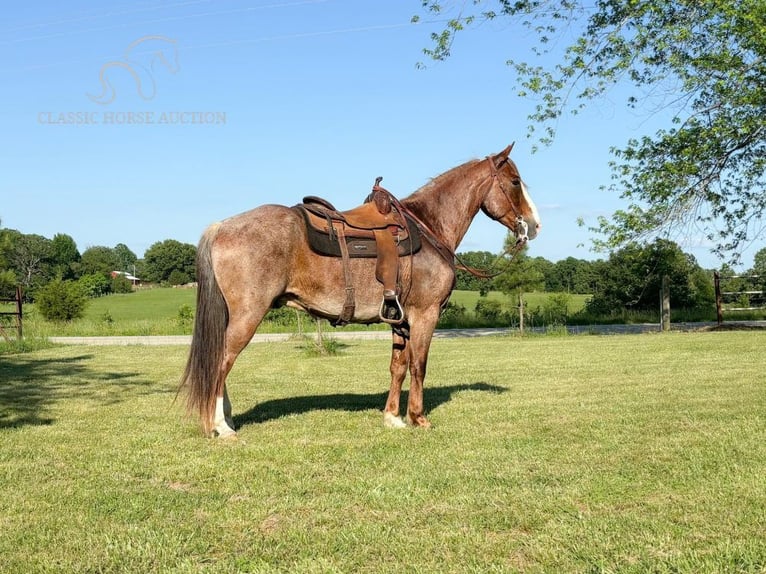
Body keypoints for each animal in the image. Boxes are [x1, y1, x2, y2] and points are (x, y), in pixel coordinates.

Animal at [181, 146, 544, 438]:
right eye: (515, 182)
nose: (534, 225)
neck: (428, 229)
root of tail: (222, 226)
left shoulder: (401, 321)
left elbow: (398, 366)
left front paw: (393, 418)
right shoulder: (425, 315)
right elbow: (419, 365)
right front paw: (418, 418)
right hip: (248, 316)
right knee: (222, 362)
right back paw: (221, 426)